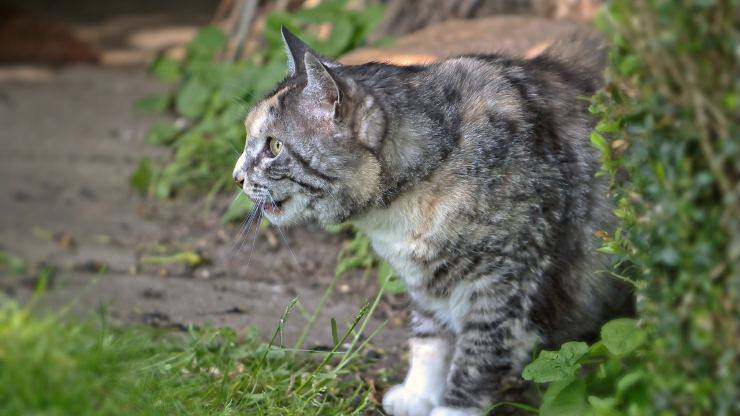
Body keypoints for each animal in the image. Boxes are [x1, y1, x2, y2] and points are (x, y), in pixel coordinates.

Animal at [231, 26, 632, 416]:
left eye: (274, 147)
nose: (236, 176)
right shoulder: (425, 279)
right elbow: (428, 336)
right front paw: (418, 392)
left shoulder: (504, 281)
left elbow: (478, 355)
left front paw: (453, 408)